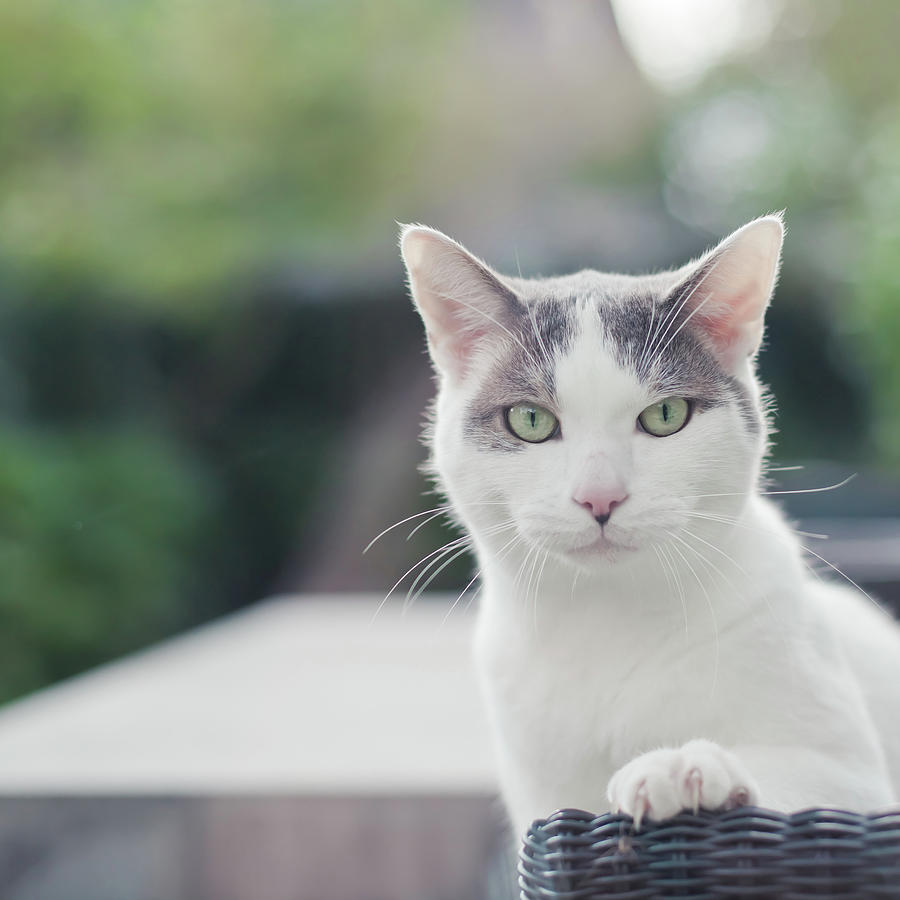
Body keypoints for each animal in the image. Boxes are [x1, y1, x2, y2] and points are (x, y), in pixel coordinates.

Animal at [400, 214, 900, 840]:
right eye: (530, 420)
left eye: (665, 416)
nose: (600, 496)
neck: (609, 617)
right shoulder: (543, 802)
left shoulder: (854, 780)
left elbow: (808, 785)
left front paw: (682, 765)